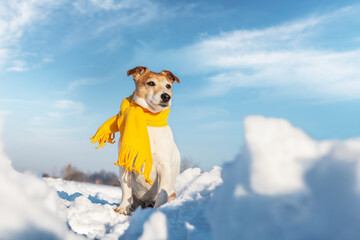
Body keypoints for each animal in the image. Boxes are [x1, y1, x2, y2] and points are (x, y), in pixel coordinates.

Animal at [114, 66, 181, 216]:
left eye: (168, 86)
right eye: (151, 83)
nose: (166, 96)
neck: (150, 121)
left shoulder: (164, 167)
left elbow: (162, 193)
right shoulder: (125, 165)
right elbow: (126, 190)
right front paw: (122, 208)